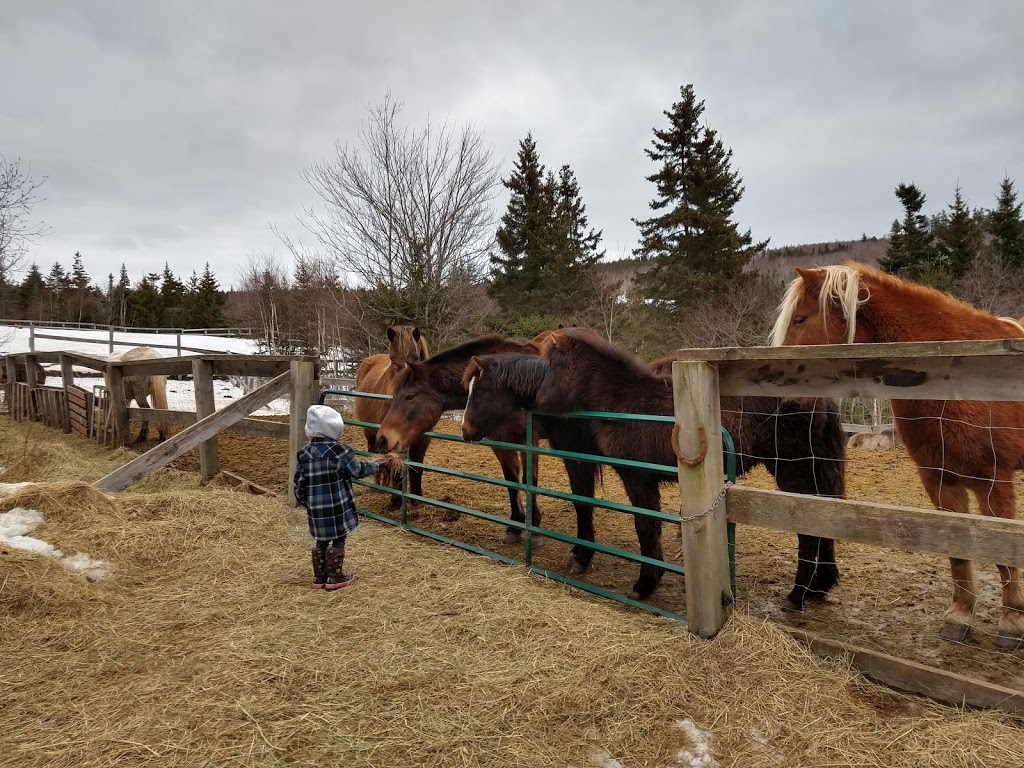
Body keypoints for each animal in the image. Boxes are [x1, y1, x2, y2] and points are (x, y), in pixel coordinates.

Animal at [354, 325, 430, 501]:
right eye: (392, 359)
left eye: (416, 358)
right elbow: (396, 469)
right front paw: (396, 500)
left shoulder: (422, 440)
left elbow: (417, 467)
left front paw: (417, 498)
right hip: (370, 433)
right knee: (373, 453)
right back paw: (377, 485)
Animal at [460, 329, 843, 606]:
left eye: (480, 392)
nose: (465, 431)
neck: (623, 400)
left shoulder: (631, 475)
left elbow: (641, 524)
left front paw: (642, 583)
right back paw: (820, 587)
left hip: (792, 472)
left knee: (808, 528)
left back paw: (797, 595)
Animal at [770, 264, 1024, 651]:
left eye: (800, 318)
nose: (783, 399)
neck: (955, 377)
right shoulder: (939, 478)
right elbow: (958, 550)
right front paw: (960, 617)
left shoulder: (994, 480)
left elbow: (1003, 556)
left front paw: (1010, 624)